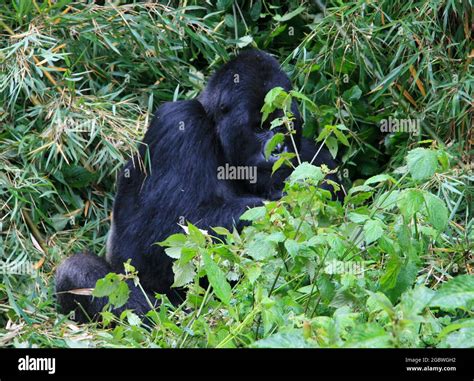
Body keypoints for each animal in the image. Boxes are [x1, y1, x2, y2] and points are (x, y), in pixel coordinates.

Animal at [55, 48, 338, 320]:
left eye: (285, 127)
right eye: (260, 127)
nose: (279, 149)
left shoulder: (315, 155)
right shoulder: (179, 123)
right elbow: (148, 239)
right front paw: (274, 208)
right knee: (78, 272)